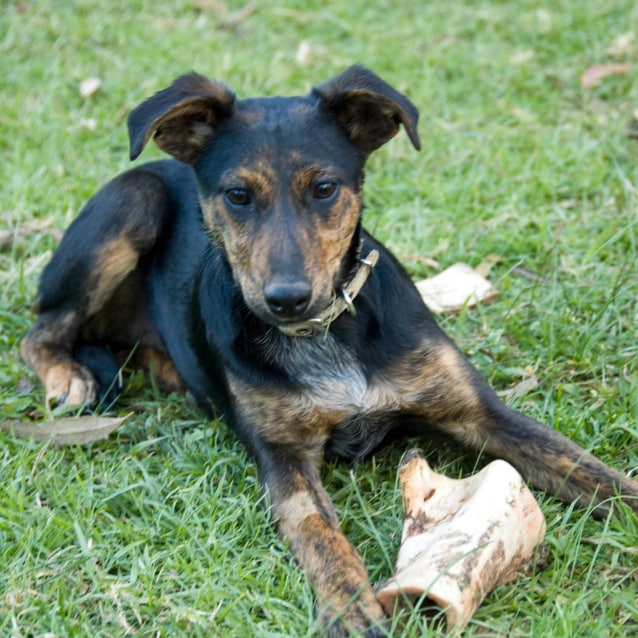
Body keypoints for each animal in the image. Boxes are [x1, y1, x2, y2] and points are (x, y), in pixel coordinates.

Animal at [21, 67, 638, 636]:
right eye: (238, 196)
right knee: (41, 330)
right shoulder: (283, 458)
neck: (324, 334)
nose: (287, 299)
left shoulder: (482, 412)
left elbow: (590, 470)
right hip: (133, 201)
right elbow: (319, 534)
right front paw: (350, 605)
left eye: (324, 189)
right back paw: (67, 378)